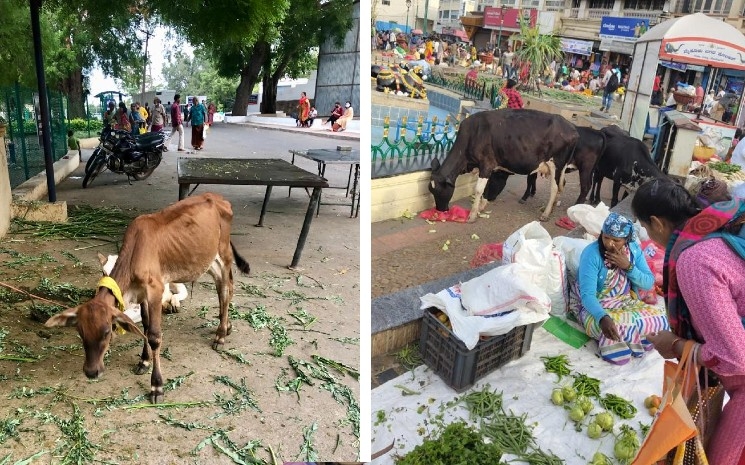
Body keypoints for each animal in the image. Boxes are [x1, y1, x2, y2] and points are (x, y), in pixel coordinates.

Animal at [45, 192, 251, 402]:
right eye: (80, 331)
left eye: (107, 331)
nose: (91, 371)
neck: (135, 254)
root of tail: (217, 197)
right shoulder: (142, 293)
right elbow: (143, 325)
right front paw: (143, 361)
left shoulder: (155, 290)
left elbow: (154, 335)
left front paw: (156, 386)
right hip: (207, 260)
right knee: (222, 288)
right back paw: (227, 326)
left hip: (223, 254)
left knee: (226, 289)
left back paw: (220, 336)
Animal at [430, 108, 580, 222]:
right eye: (431, 191)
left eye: (439, 191)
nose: (440, 209)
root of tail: (572, 128)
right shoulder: (489, 167)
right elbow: (487, 187)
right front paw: (482, 206)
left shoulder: (486, 163)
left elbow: (478, 189)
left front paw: (472, 215)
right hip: (559, 168)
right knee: (561, 185)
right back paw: (552, 208)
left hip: (556, 164)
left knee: (555, 188)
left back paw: (545, 214)